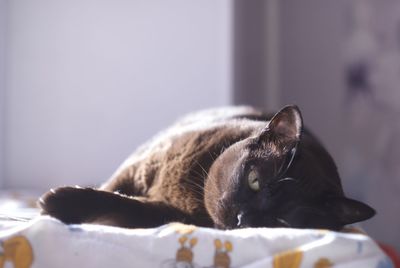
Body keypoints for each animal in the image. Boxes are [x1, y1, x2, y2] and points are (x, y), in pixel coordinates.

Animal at [38, 105, 376, 230]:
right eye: (254, 180)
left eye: (281, 222)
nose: (242, 219)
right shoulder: (137, 166)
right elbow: (109, 189)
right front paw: (53, 204)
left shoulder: (165, 212)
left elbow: (120, 203)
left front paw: (57, 204)